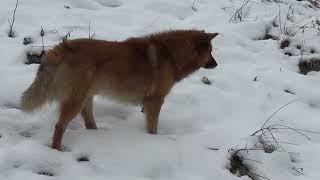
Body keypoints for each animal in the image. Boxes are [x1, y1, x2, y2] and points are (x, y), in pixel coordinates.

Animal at [20, 29, 218, 150]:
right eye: (210, 52)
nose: (216, 64)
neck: (170, 54)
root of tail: (62, 47)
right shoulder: (155, 101)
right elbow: (152, 128)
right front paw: (153, 141)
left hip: (86, 98)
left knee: (88, 122)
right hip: (76, 100)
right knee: (59, 126)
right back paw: (57, 150)